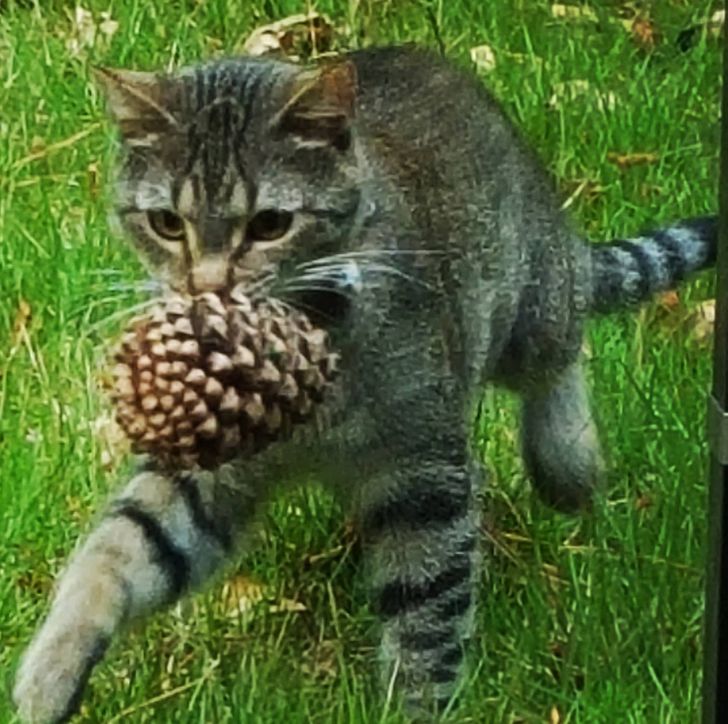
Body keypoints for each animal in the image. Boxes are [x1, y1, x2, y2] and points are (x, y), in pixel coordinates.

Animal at [12, 46, 716, 724]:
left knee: (562, 352)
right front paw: (50, 671)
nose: (206, 287)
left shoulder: (422, 475)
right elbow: (113, 552)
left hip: (533, 305)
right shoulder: (200, 472)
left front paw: (419, 711)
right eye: (165, 223)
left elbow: (427, 615)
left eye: (269, 224)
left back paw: (568, 463)